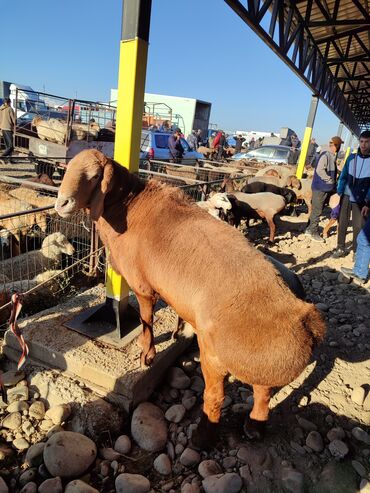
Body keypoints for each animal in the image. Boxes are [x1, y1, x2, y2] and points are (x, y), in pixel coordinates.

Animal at [53, 150, 326, 446]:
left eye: (94, 176)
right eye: (67, 169)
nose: (61, 203)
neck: (130, 208)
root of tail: (304, 318)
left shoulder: (143, 287)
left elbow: (146, 319)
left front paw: (147, 355)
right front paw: (178, 331)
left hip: (215, 356)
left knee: (216, 397)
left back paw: (202, 437)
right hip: (261, 368)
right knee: (263, 396)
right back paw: (254, 427)